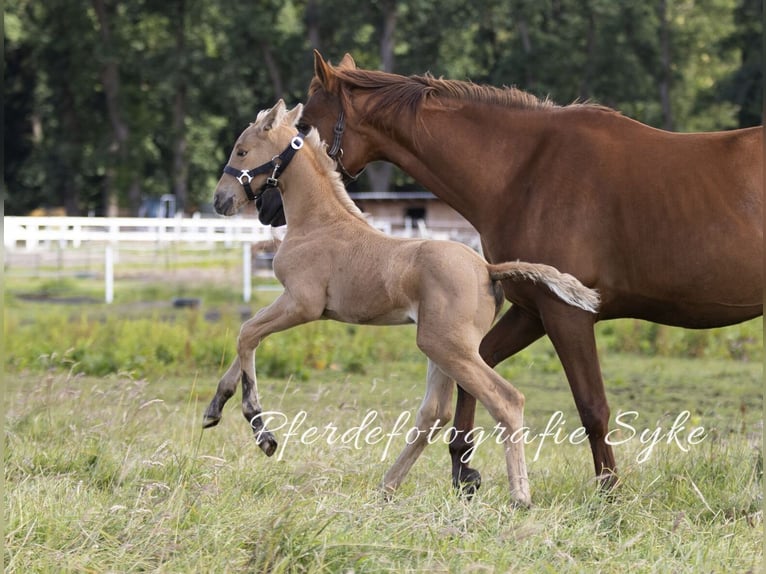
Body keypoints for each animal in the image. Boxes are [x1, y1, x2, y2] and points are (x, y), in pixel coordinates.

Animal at [202, 100, 600, 508]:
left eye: (242, 151)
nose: (220, 200)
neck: (318, 223)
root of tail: (488, 268)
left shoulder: (302, 303)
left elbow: (247, 333)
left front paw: (262, 432)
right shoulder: (292, 304)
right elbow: (247, 338)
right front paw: (215, 408)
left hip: (446, 346)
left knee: (505, 399)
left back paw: (519, 495)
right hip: (443, 347)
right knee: (435, 413)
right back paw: (388, 486)